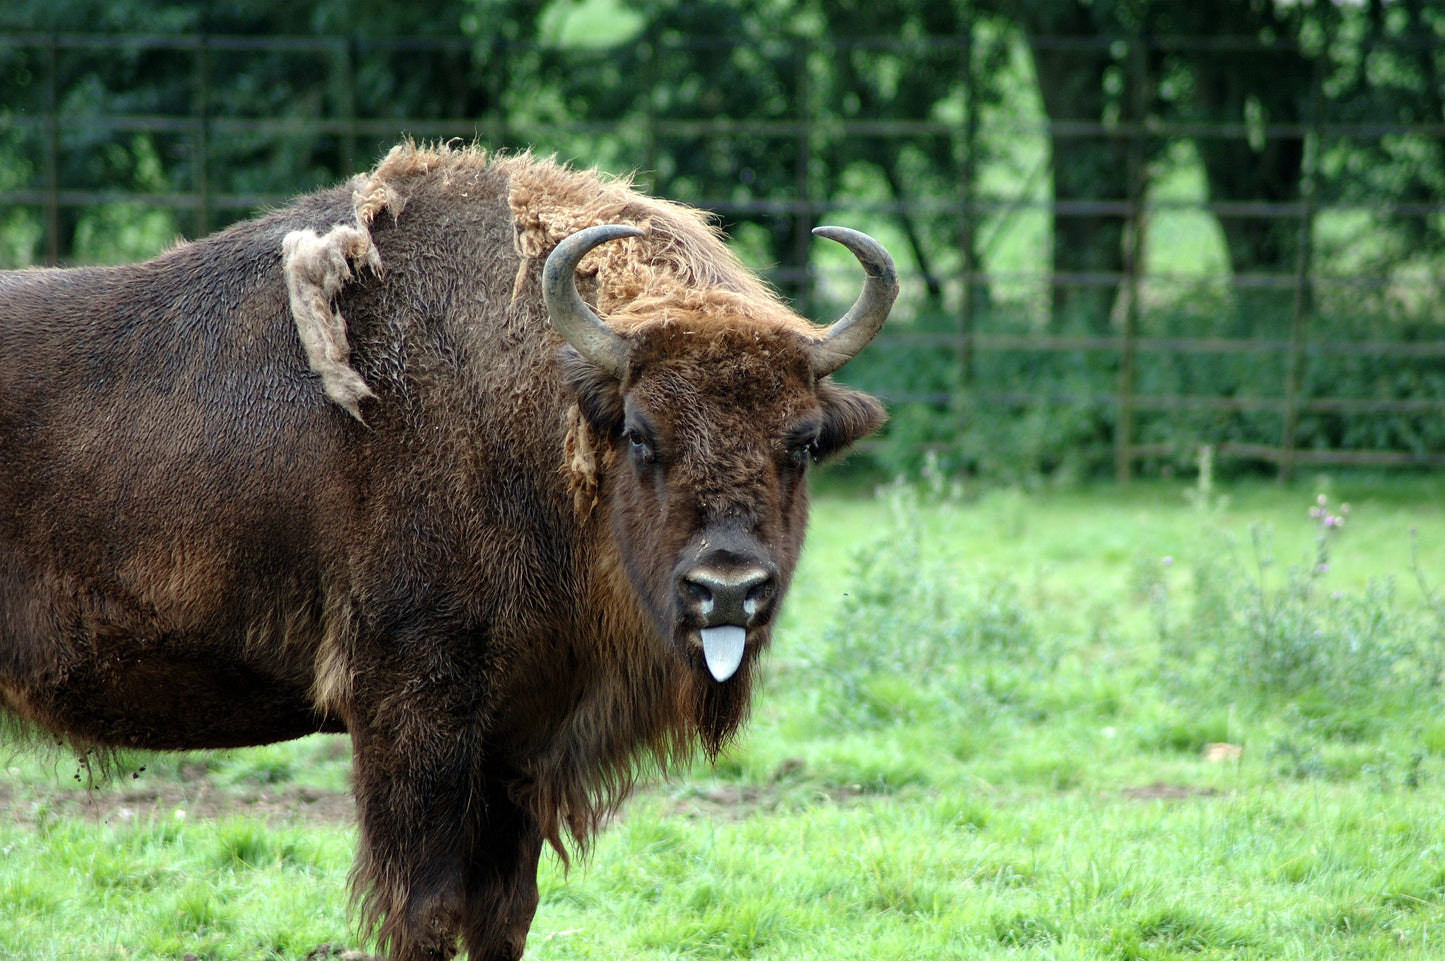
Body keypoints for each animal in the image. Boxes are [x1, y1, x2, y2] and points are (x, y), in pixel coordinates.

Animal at [0, 142, 896, 960]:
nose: (727, 588)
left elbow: (503, 912)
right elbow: (424, 909)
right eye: (641, 433)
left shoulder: (519, 735)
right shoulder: (414, 710)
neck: (538, 410)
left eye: (802, 441)